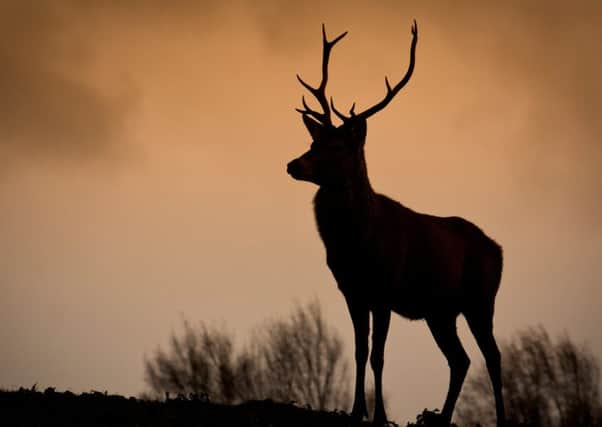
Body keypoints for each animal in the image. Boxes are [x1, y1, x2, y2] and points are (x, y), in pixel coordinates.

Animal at [286, 21, 506, 427]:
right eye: (312, 142)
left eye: (337, 147)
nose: (293, 164)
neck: (357, 242)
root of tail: (498, 249)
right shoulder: (352, 290)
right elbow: (359, 352)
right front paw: (357, 411)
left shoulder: (384, 289)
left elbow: (378, 355)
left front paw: (379, 416)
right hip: (440, 311)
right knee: (460, 359)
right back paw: (441, 417)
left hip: (481, 298)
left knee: (492, 356)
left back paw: (500, 419)